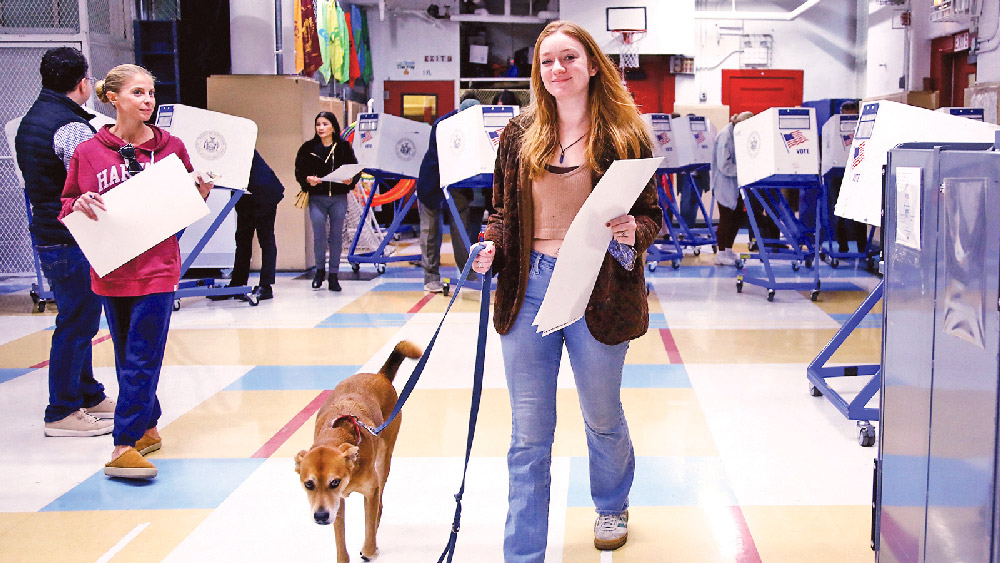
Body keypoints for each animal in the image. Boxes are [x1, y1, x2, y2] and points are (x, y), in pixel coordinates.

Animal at [296, 342, 422, 560]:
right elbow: (340, 537)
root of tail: (380, 375)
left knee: (379, 504)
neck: (338, 433)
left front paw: (369, 550)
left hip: (384, 461)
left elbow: (369, 525)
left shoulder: (370, 491)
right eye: (308, 484)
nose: (320, 516)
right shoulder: (336, 503)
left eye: (334, 482)